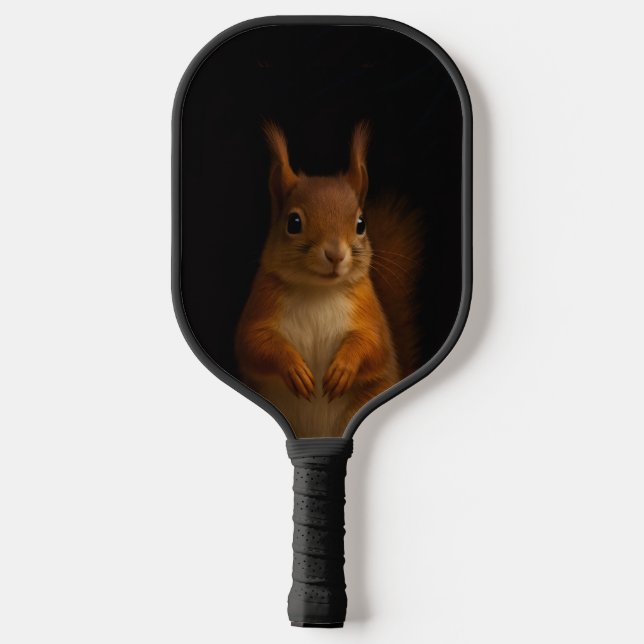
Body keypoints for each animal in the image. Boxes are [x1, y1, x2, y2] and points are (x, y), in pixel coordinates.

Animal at [235, 121, 424, 438]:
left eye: (361, 223)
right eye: (293, 222)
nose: (335, 254)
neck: (317, 290)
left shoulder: (368, 310)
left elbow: (374, 345)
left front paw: (343, 369)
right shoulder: (262, 303)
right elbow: (254, 342)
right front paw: (294, 368)